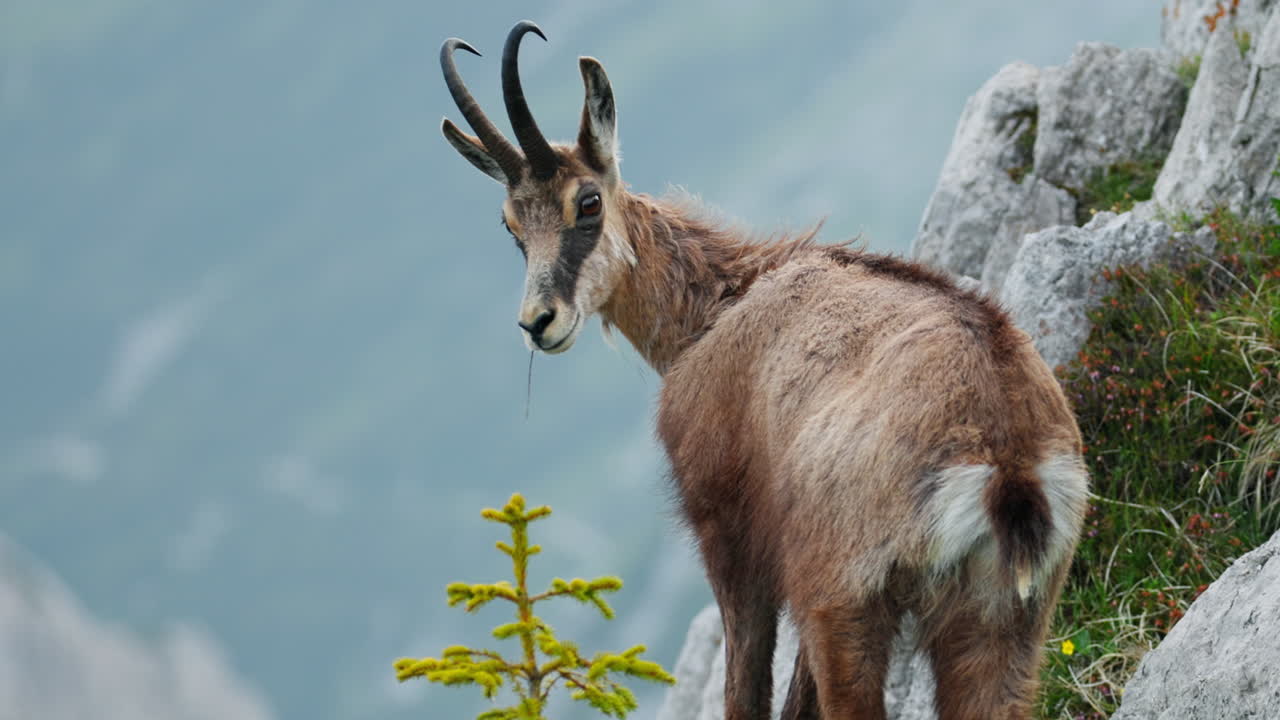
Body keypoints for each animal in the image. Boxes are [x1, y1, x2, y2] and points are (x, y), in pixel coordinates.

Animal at [438, 21, 1089, 720]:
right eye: (511, 224)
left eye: (587, 202)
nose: (539, 322)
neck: (716, 308)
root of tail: (1006, 459)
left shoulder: (731, 537)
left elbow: (746, 690)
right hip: (1005, 622)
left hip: (846, 598)